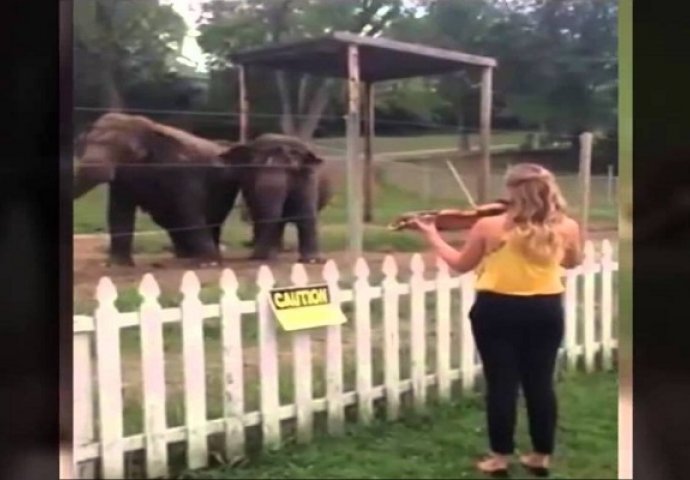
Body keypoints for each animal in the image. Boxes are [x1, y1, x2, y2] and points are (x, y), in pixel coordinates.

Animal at [74, 113, 241, 266]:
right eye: (85, 142)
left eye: (126, 150)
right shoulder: (122, 181)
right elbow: (119, 213)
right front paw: (118, 265)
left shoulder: (183, 172)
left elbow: (189, 212)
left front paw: (208, 262)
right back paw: (184, 256)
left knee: (207, 219)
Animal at [220, 133, 334, 264]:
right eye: (255, 167)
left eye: (291, 169)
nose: (260, 257)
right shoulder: (247, 183)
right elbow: (258, 212)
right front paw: (263, 257)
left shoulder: (307, 177)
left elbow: (305, 213)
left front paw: (313, 260)